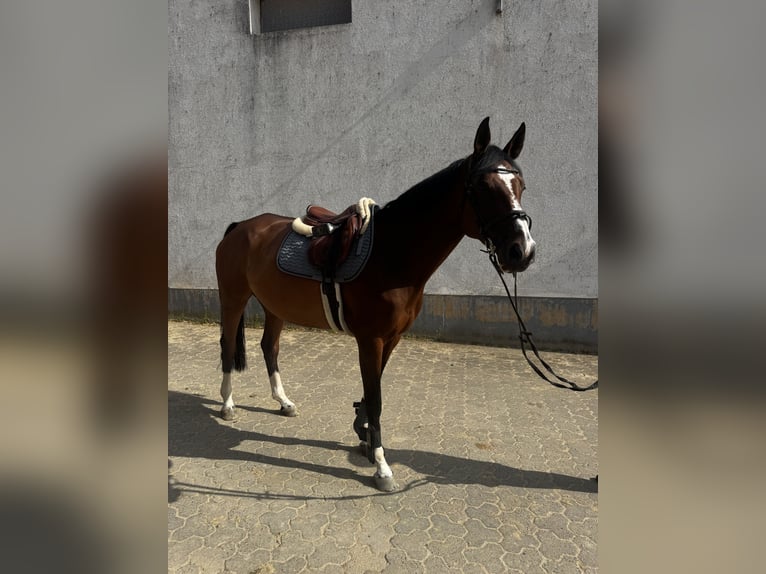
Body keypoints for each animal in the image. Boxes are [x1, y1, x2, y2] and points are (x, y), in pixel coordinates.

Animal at [214, 117, 536, 491]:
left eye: (520, 185)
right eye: (483, 187)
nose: (522, 251)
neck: (391, 254)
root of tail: (240, 227)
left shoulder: (391, 338)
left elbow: (374, 389)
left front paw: (364, 435)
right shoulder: (371, 339)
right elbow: (378, 397)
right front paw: (382, 466)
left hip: (274, 307)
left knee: (270, 347)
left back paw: (283, 402)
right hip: (233, 299)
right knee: (227, 346)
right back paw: (227, 404)